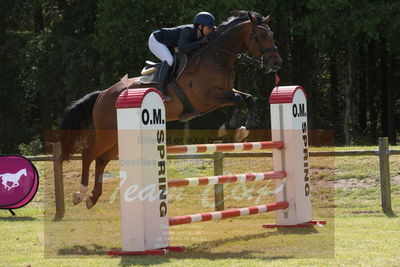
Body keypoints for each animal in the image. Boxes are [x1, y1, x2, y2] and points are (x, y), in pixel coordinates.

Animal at [61, 10, 282, 209]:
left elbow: (248, 98)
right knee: (88, 154)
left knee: (102, 159)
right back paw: (80, 194)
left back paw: (93, 198)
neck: (215, 56)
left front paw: (242, 127)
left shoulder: (224, 92)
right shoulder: (207, 97)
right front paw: (234, 126)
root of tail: (102, 95)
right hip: (107, 133)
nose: (276, 63)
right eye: (262, 35)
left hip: (117, 137)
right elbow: (238, 100)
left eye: (271, 34)